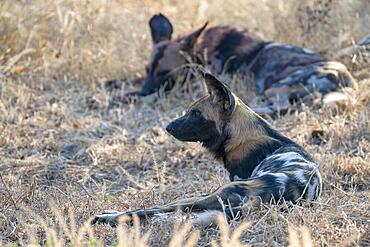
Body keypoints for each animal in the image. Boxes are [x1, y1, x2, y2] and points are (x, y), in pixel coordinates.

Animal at [92, 73, 320, 226]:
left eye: (195, 113)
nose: (168, 127)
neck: (241, 135)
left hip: (203, 196)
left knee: (151, 209)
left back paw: (108, 217)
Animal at [112, 12, 356, 111]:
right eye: (148, 70)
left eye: (165, 72)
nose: (145, 91)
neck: (202, 53)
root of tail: (348, 81)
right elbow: (127, 81)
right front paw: (114, 85)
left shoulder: (184, 89)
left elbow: (145, 95)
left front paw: (122, 97)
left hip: (276, 87)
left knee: (283, 107)